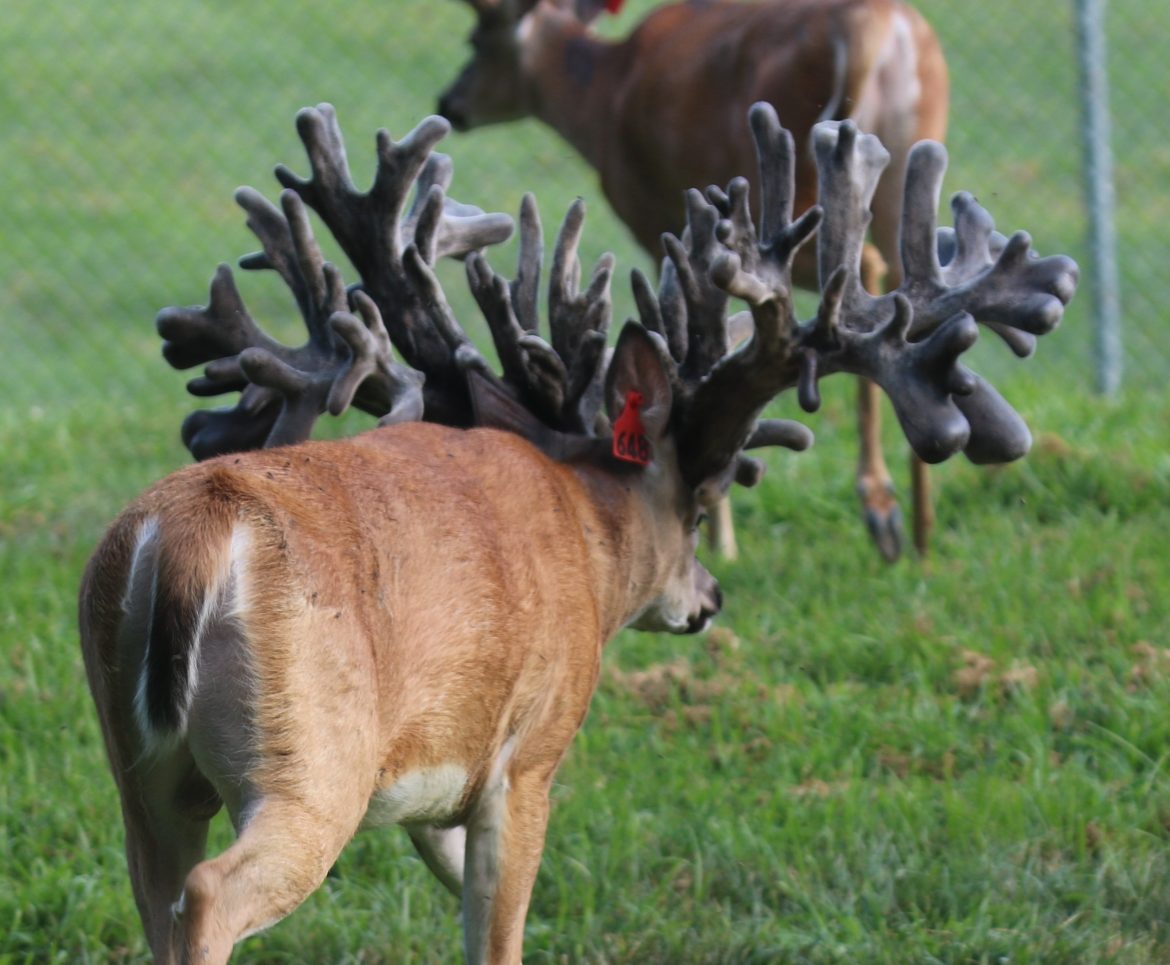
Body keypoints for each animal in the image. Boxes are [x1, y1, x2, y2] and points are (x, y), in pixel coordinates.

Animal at [77, 101, 1071, 959]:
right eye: (700, 504)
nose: (711, 597)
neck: (585, 530)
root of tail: (188, 536)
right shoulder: (530, 751)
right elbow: (501, 936)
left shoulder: (442, 775)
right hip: (310, 760)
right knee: (211, 895)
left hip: (142, 772)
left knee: (158, 895)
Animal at [439, 0, 950, 556]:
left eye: (475, 41)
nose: (449, 102)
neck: (600, 97)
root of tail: (874, 25)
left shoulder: (656, 219)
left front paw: (716, 534)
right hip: (911, 153)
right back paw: (919, 526)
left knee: (866, 270)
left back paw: (881, 507)